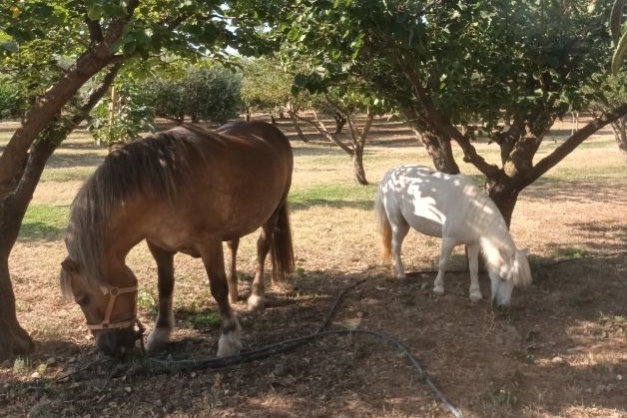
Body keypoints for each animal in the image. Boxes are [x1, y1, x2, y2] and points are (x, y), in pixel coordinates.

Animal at [60, 121, 296, 356]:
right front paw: (160, 333)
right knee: (233, 245)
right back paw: (236, 292)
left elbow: (218, 289)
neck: (162, 188)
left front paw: (229, 338)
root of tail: (272, 130)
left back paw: (256, 296)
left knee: (262, 248)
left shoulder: (209, 243)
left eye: (82, 299)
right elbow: (165, 287)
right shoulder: (159, 246)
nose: (108, 348)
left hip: (273, 213)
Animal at [376, 165, 532, 306]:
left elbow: (474, 268)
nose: (503, 306)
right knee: (395, 246)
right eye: (503, 277)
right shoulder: (448, 240)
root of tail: (390, 174)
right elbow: (443, 263)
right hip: (398, 223)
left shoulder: (473, 243)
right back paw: (400, 274)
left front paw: (475, 293)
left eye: (514, 282)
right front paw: (438, 287)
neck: (470, 209)